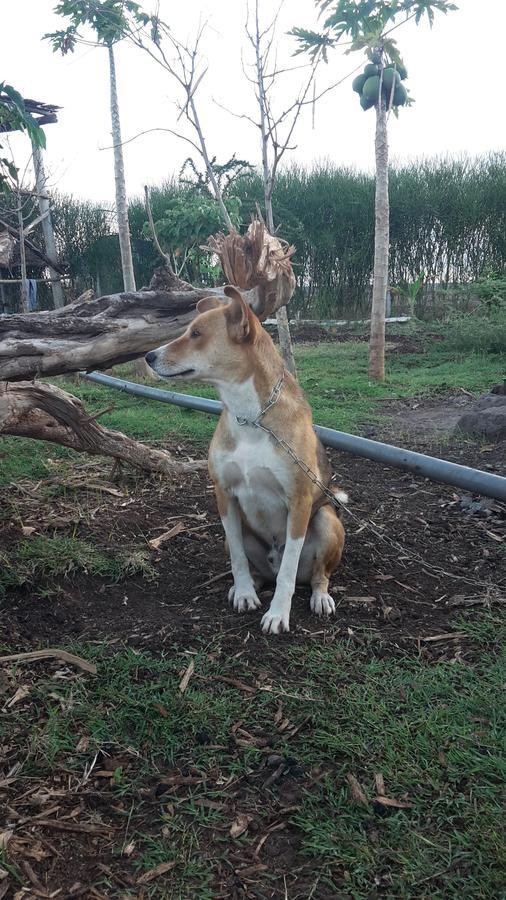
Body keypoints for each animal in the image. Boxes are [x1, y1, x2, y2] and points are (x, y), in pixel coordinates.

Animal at [144, 286, 346, 632]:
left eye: (196, 333)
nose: (148, 356)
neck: (251, 417)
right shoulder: (224, 494)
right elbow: (238, 557)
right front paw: (243, 594)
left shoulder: (300, 501)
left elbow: (289, 571)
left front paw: (278, 614)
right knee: (259, 570)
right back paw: (250, 584)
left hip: (327, 520)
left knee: (316, 575)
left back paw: (320, 597)